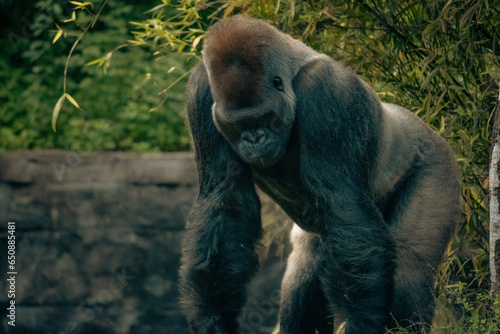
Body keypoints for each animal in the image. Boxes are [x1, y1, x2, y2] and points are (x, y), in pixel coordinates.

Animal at [179, 16, 460, 334]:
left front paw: (361, 323)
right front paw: (213, 320)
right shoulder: (201, 93)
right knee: (306, 268)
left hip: (437, 162)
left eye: (263, 118)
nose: (253, 139)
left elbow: (340, 199)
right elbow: (226, 201)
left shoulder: (325, 89)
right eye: (238, 125)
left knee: (409, 269)